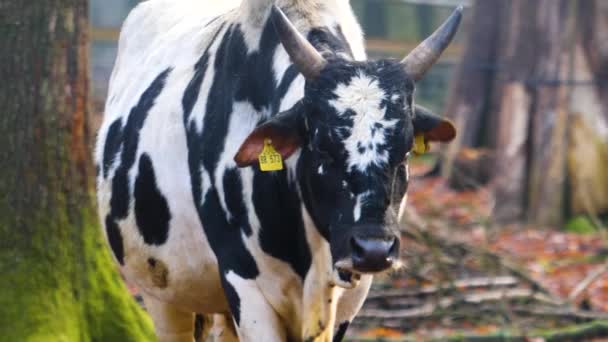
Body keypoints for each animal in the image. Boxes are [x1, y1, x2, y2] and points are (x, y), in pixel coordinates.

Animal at [95, 0, 460, 340]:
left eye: (406, 149)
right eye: (321, 146)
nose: (373, 249)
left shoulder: (348, 300)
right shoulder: (245, 285)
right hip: (161, 292)